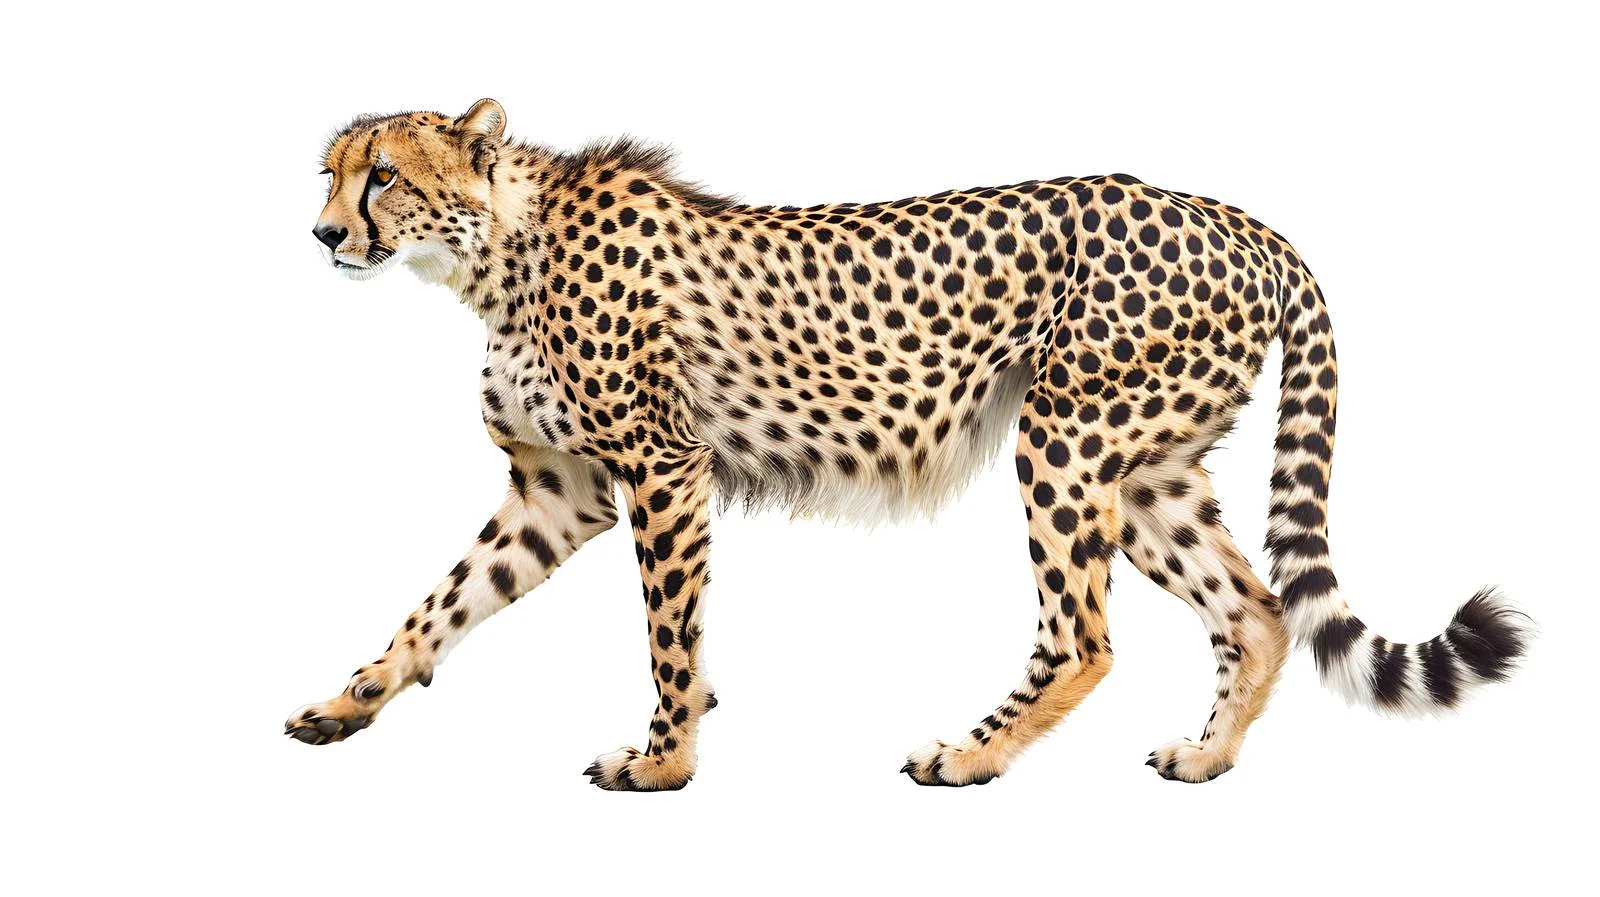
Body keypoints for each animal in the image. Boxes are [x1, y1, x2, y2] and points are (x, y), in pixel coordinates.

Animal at [288, 99, 1529, 789]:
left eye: (382, 175)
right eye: (331, 173)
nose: (322, 233)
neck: (496, 252)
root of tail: (1242, 220)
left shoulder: (661, 468)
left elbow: (668, 633)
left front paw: (663, 761)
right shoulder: (562, 489)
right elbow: (440, 603)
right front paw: (348, 701)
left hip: (1063, 434)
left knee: (1082, 636)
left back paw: (969, 755)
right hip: (1150, 467)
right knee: (1258, 609)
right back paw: (1204, 756)